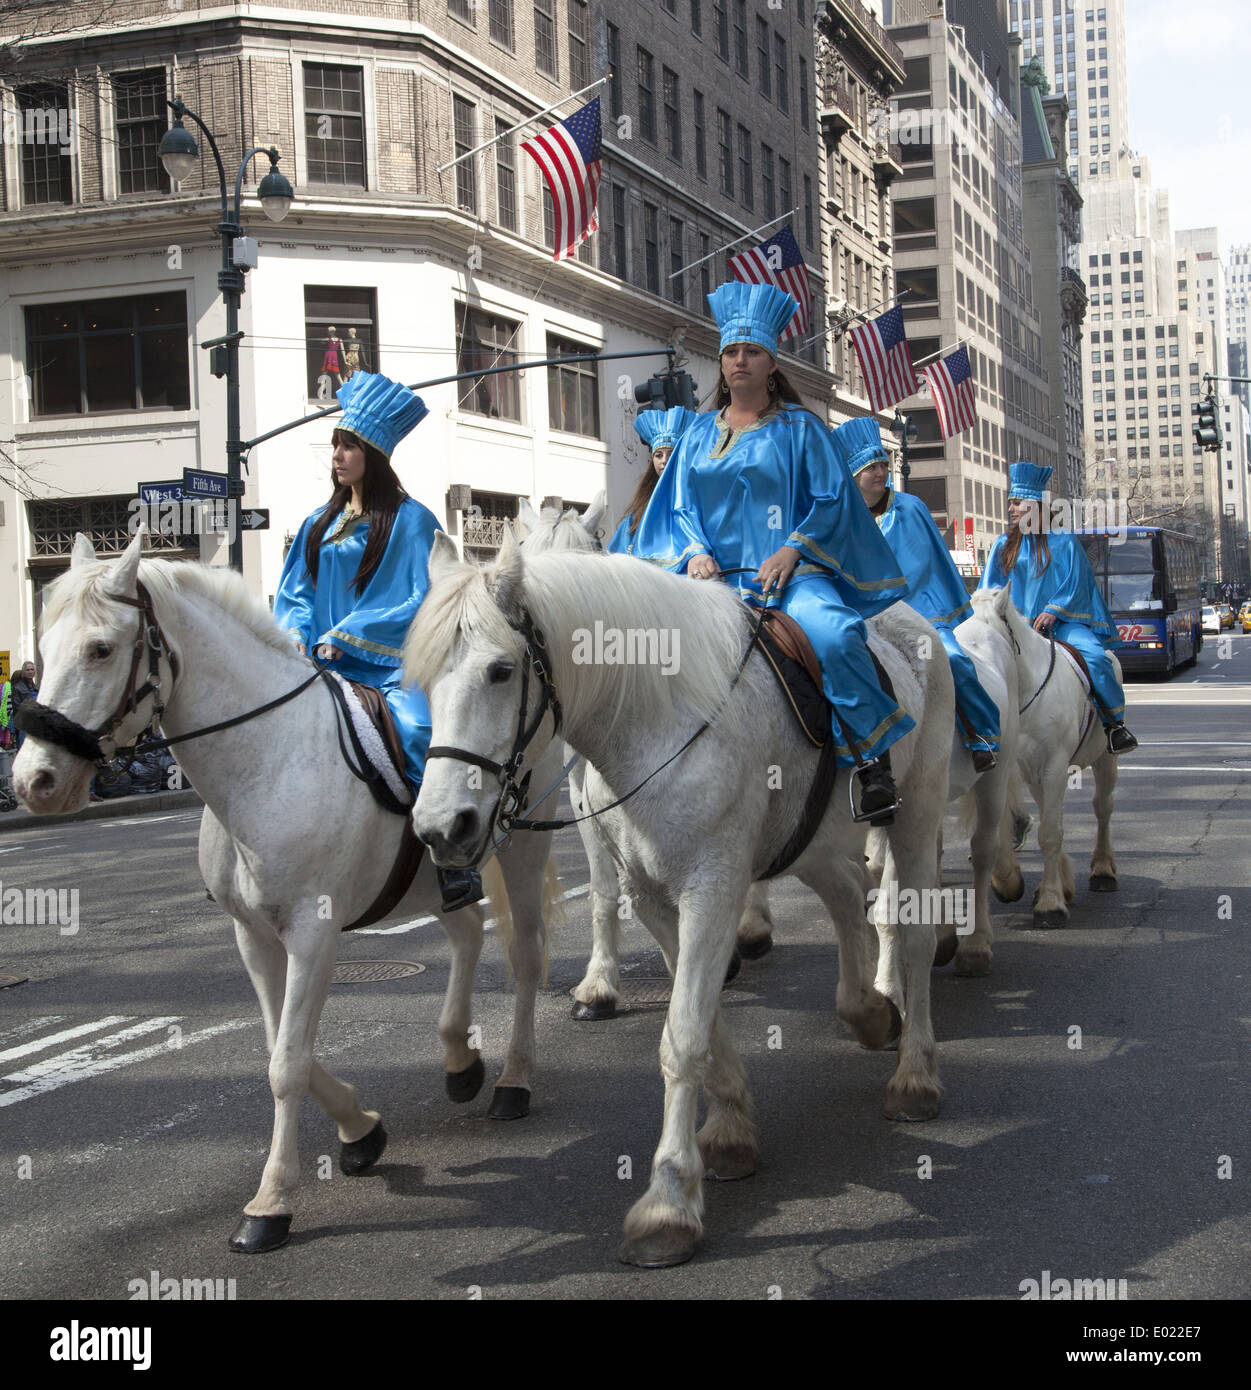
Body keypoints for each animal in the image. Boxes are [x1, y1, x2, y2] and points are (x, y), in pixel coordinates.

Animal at [13, 525, 553, 1256]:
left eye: (100, 649)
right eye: (43, 647)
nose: (33, 782)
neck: (264, 763)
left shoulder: (313, 934)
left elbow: (287, 1064)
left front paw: (271, 1201)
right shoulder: (254, 935)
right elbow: (280, 1047)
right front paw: (360, 1130)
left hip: (522, 846)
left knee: (523, 954)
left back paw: (513, 1081)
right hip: (437, 867)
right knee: (467, 932)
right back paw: (458, 1059)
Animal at [408, 533, 950, 1273]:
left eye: (499, 670)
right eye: (423, 681)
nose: (442, 829)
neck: (655, 721)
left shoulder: (712, 886)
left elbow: (683, 1034)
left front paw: (666, 1205)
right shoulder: (654, 896)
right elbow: (703, 1016)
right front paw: (728, 1130)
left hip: (915, 816)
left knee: (914, 936)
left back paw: (914, 1074)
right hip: (805, 839)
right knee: (845, 893)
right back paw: (868, 1013)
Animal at [967, 583, 1123, 922]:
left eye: (983, 642)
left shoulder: (1054, 766)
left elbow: (1050, 832)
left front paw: (1051, 903)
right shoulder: (1024, 770)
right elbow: (1041, 826)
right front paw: (1032, 885)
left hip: (1105, 758)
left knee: (1103, 807)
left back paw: (1103, 870)